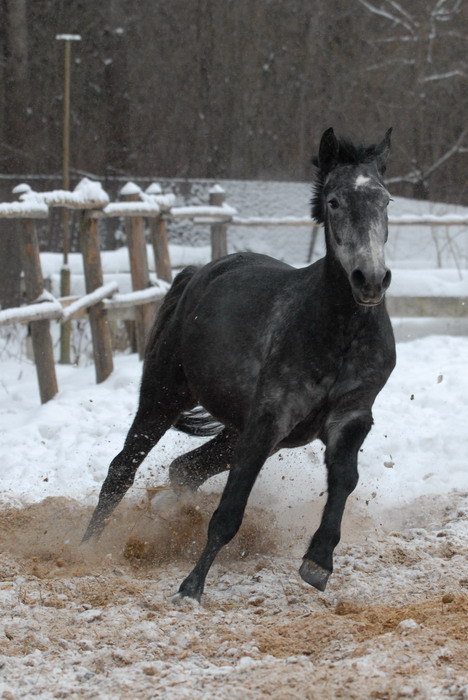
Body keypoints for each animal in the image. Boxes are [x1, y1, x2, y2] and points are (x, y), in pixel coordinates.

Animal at [82, 129, 396, 604]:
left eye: (385, 200)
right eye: (335, 201)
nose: (371, 280)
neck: (337, 331)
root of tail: (195, 275)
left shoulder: (351, 418)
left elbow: (344, 479)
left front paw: (318, 562)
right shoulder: (268, 419)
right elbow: (230, 509)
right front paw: (191, 587)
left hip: (241, 430)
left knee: (185, 469)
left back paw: (165, 511)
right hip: (164, 395)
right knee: (122, 469)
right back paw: (82, 548)